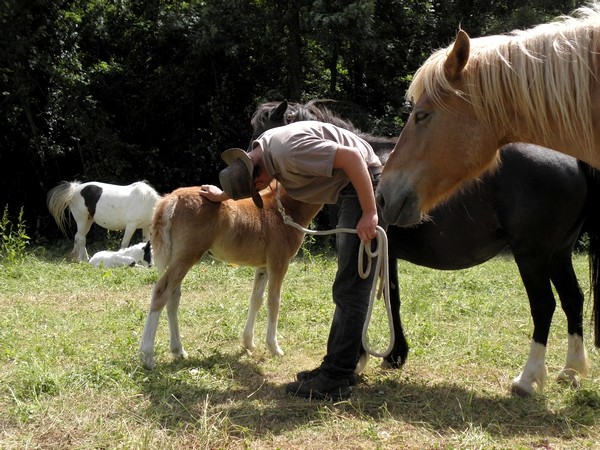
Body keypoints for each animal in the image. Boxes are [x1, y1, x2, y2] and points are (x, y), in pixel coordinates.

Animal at [139, 183, 324, 370]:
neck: (282, 209)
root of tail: (172, 198)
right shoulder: (278, 263)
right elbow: (274, 302)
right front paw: (274, 347)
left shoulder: (263, 267)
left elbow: (256, 300)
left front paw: (248, 343)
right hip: (186, 257)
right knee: (161, 292)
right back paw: (147, 356)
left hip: (178, 258)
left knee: (173, 297)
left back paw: (178, 350)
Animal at [251, 100, 596, 396]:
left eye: (259, 129)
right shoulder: (386, 252)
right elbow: (392, 298)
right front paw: (394, 356)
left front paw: (362, 360)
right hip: (558, 254)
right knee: (573, 299)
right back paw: (571, 371)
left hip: (532, 256)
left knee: (544, 306)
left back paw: (527, 379)